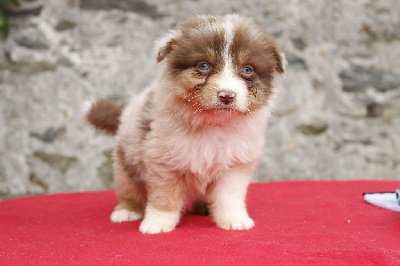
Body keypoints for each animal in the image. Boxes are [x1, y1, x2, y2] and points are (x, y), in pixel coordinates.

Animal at [85, 14, 284, 235]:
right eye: (203, 66)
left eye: (247, 69)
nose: (227, 95)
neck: (211, 124)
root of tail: (127, 108)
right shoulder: (163, 161)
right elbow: (164, 197)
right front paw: (158, 222)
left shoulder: (235, 166)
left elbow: (229, 197)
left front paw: (234, 219)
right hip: (125, 164)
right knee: (130, 190)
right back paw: (126, 211)